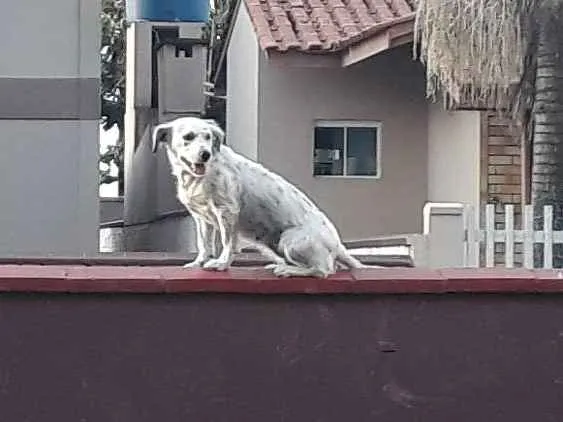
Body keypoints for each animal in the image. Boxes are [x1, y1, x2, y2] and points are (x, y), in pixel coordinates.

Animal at [151, 117, 374, 278]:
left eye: (207, 137)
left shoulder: (226, 212)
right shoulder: (201, 217)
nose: (205, 154)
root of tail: (338, 245)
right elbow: (203, 244)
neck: (197, 177)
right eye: (188, 136)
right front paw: (198, 262)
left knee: (324, 270)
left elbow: (227, 242)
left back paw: (288, 270)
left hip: (290, 240)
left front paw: (222, 264)